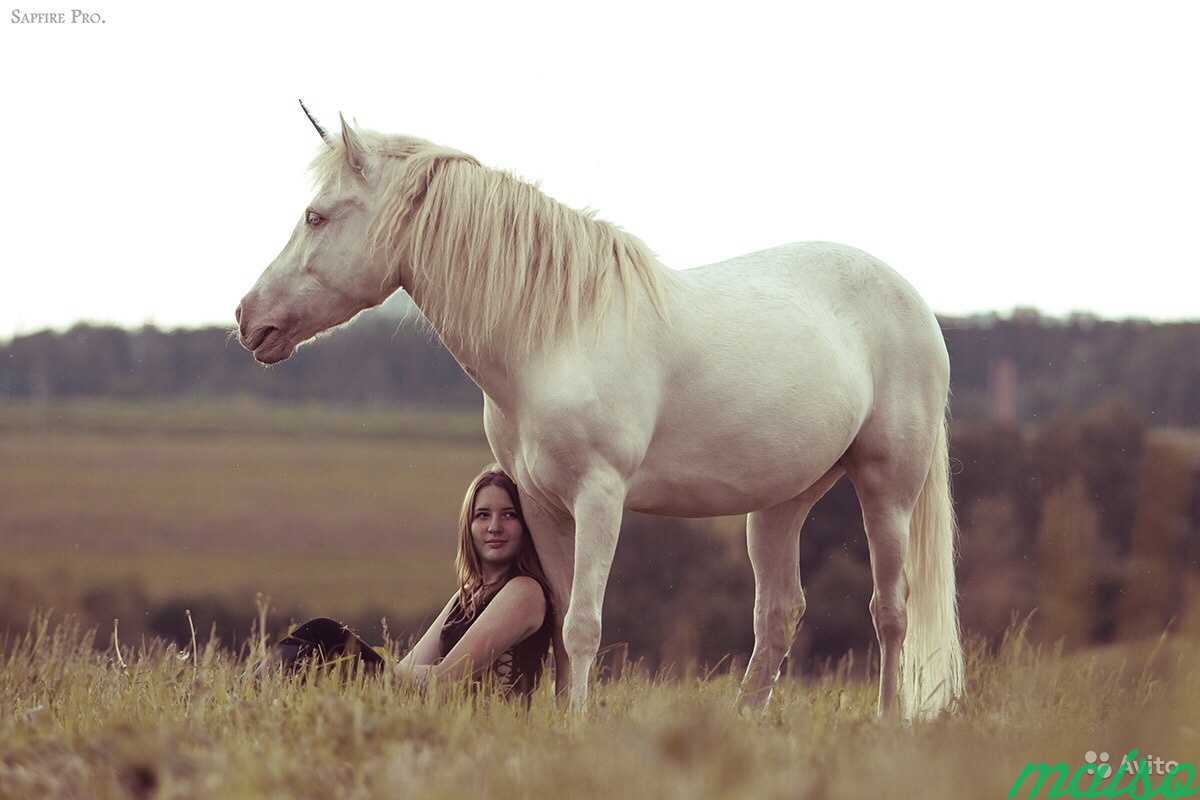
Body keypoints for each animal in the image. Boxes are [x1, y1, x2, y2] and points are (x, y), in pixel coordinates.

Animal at [234, 103, 964, 724]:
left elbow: (584, 623)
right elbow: (557, 624)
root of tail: (910, 298)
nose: (247, 318)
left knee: (890, 611)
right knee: (779, 615)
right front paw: (563, 720)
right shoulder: (542, 504)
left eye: (318, 217)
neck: (558, 332)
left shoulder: (599, 496)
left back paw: (888, 720)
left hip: (887, 487)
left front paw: (579, 724)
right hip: (780, 503)